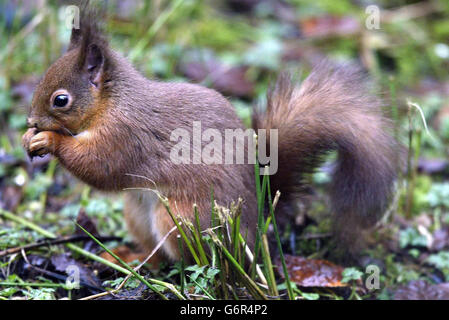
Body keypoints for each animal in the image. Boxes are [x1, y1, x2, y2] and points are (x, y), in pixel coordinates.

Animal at [22, 6, 398, 262]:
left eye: (60, 100)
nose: (31, 120)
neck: (112, 103)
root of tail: (255, 225)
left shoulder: (124, 135)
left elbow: (99, 167)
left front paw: (49, 140)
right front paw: (30, 138)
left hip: (182, 219)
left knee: (188, 260)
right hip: (137, 212)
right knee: (155, 252)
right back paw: (133, 259)